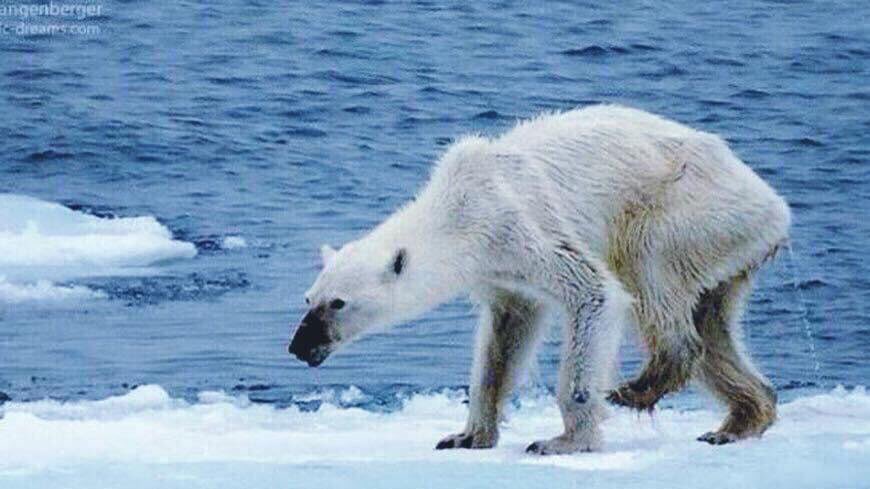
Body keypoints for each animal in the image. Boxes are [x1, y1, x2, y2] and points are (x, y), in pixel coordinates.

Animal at [288, 105, 790, 454]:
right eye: (308, 298)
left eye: (338, 303)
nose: (299, 346)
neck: (459, 209)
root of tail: (774, 205)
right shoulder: (499, 271)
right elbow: (504, 338)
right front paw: (466, 435)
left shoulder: (518, 224)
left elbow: (595, 292)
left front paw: (563, 441)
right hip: (726, 246)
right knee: (713, 325)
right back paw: (739, 420)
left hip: (688, 210)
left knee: (649, 270)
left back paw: (640, 385)